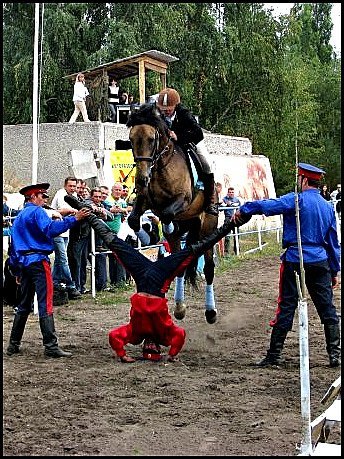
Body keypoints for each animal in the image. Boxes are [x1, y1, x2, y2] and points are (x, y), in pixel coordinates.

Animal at [127, 105, 220, 328]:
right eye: (131, 139)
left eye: (151, 139)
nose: (141, 179)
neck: (161, 166)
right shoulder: (145, 201)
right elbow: (133, 220)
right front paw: (143, 236)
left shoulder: (182, 199)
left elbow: (168, 214)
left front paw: (166, 226)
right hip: (189, 224)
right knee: (179, 264)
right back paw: (179, 308)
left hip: (207, 227)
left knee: (209, 268)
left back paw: (211, 311)